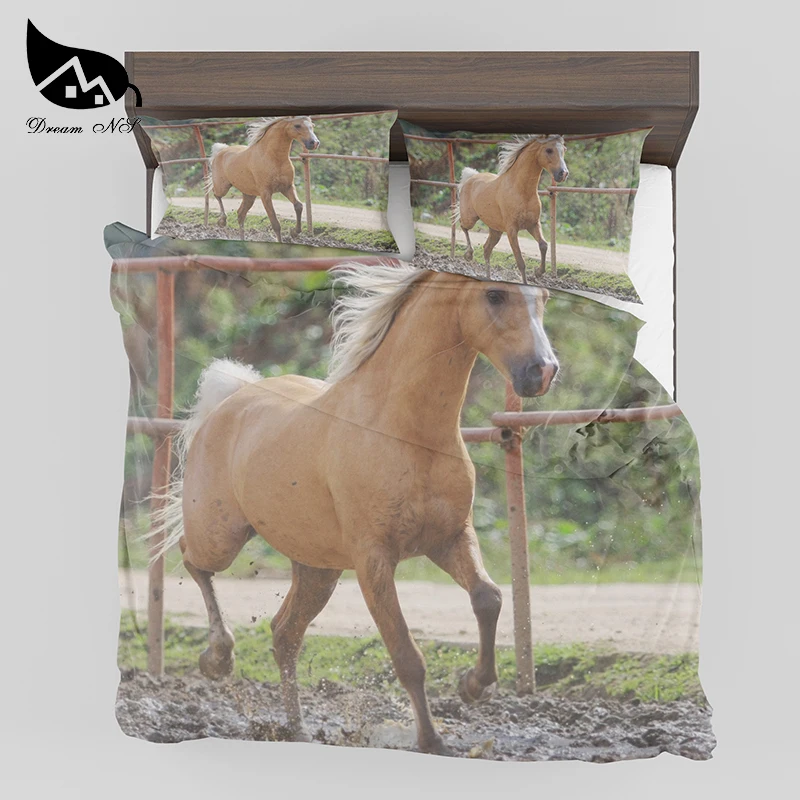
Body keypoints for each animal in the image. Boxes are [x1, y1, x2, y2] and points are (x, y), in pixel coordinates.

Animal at [149, 264, 559, 755]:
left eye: (544, 297)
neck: (404, 431)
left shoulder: (450, 537)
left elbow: (488, 597)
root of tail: (231, 398)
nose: (542, 371)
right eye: (495, 295)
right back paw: (218, 658)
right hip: (222, 535)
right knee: (193, 559)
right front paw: (432, 741)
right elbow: (407, 654)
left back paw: (298, 730)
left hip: (318, 568)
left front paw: (474, 686)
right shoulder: (373, 559)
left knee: (284, 634)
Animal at [456, 135, 569, 284]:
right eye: (549, 150)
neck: (521, 191)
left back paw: (488, 278)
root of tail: (471, 177)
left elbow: (543, 245)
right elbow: (520, 261)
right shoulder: (512, 230)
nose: (563, 174)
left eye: (564, 149)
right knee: (463, 226)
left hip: (496, 230)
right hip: (470, 218)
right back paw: (469, 254)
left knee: (486, 249)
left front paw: (538, 272)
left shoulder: (533, 224)